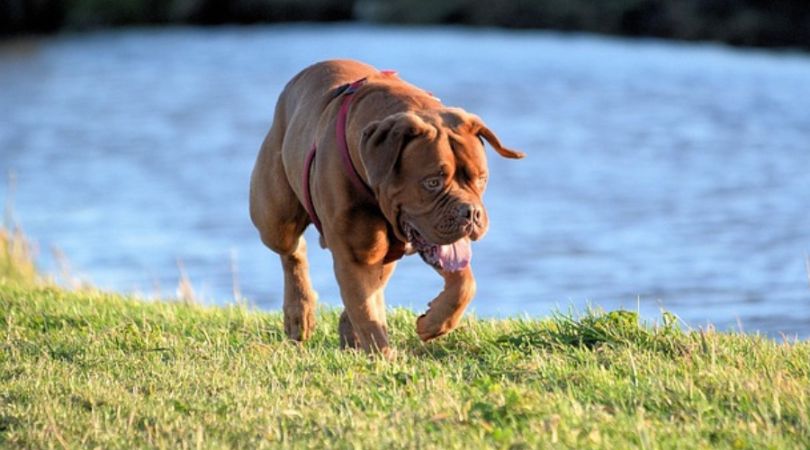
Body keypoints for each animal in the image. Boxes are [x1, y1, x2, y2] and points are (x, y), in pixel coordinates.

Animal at [248, 59, 524, 356]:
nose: (471, 213)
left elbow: (464, 283)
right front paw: (383, 356)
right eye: (432, 182)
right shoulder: (355, 255)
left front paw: (434, 323)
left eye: (482, 179)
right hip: (275, 218)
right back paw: (300, 313)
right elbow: (367, 313)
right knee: (292, 250)